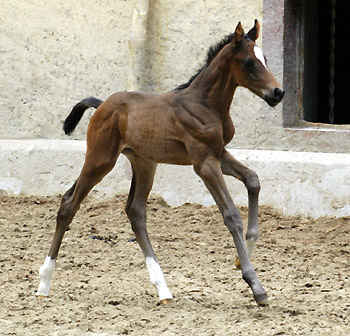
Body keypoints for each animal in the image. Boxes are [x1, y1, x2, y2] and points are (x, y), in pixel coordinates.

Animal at [37, 19, 284, 306]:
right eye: (248, 62)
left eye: (265, 59)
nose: (277, 93)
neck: (205, 104)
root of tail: (101, 105)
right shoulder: (204, 162)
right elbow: (231, 214)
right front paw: (255, 285)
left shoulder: (218, 154)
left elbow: (253, 180)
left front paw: (244, 252)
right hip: (100, 159)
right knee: (69, 204)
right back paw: (44, 282)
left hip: (144, 163)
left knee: (134, 211)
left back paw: (162, 288)